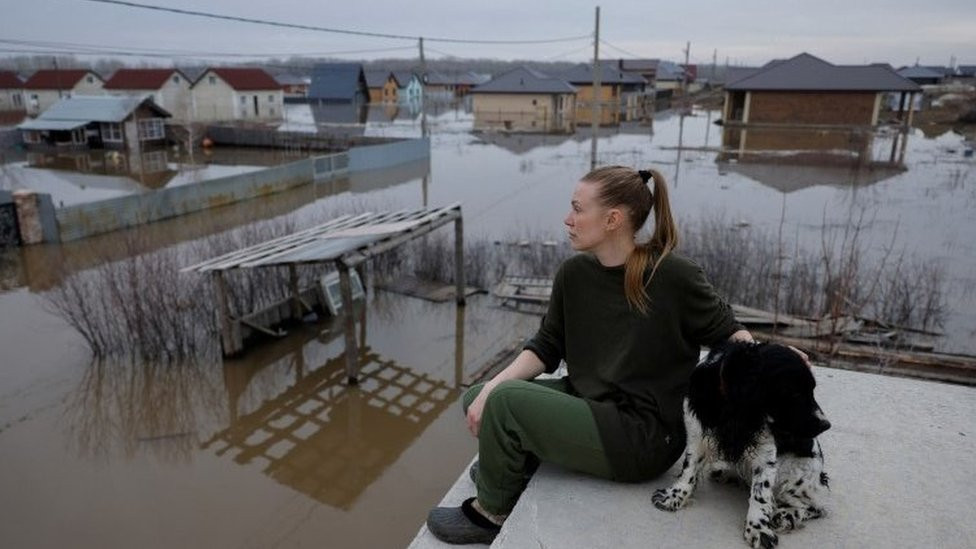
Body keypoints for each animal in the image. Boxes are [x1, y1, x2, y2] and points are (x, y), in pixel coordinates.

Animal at [652, 340, 828, 544]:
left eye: (811, 390)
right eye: (795, 393)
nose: (827, 424)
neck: (733, 410)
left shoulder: (765, 453)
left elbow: (761, 492)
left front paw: (758, 528)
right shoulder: (697, 434)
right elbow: (689, 470)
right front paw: (674, 496)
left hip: (794, 475)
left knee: (815, 507)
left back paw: (785, 516)